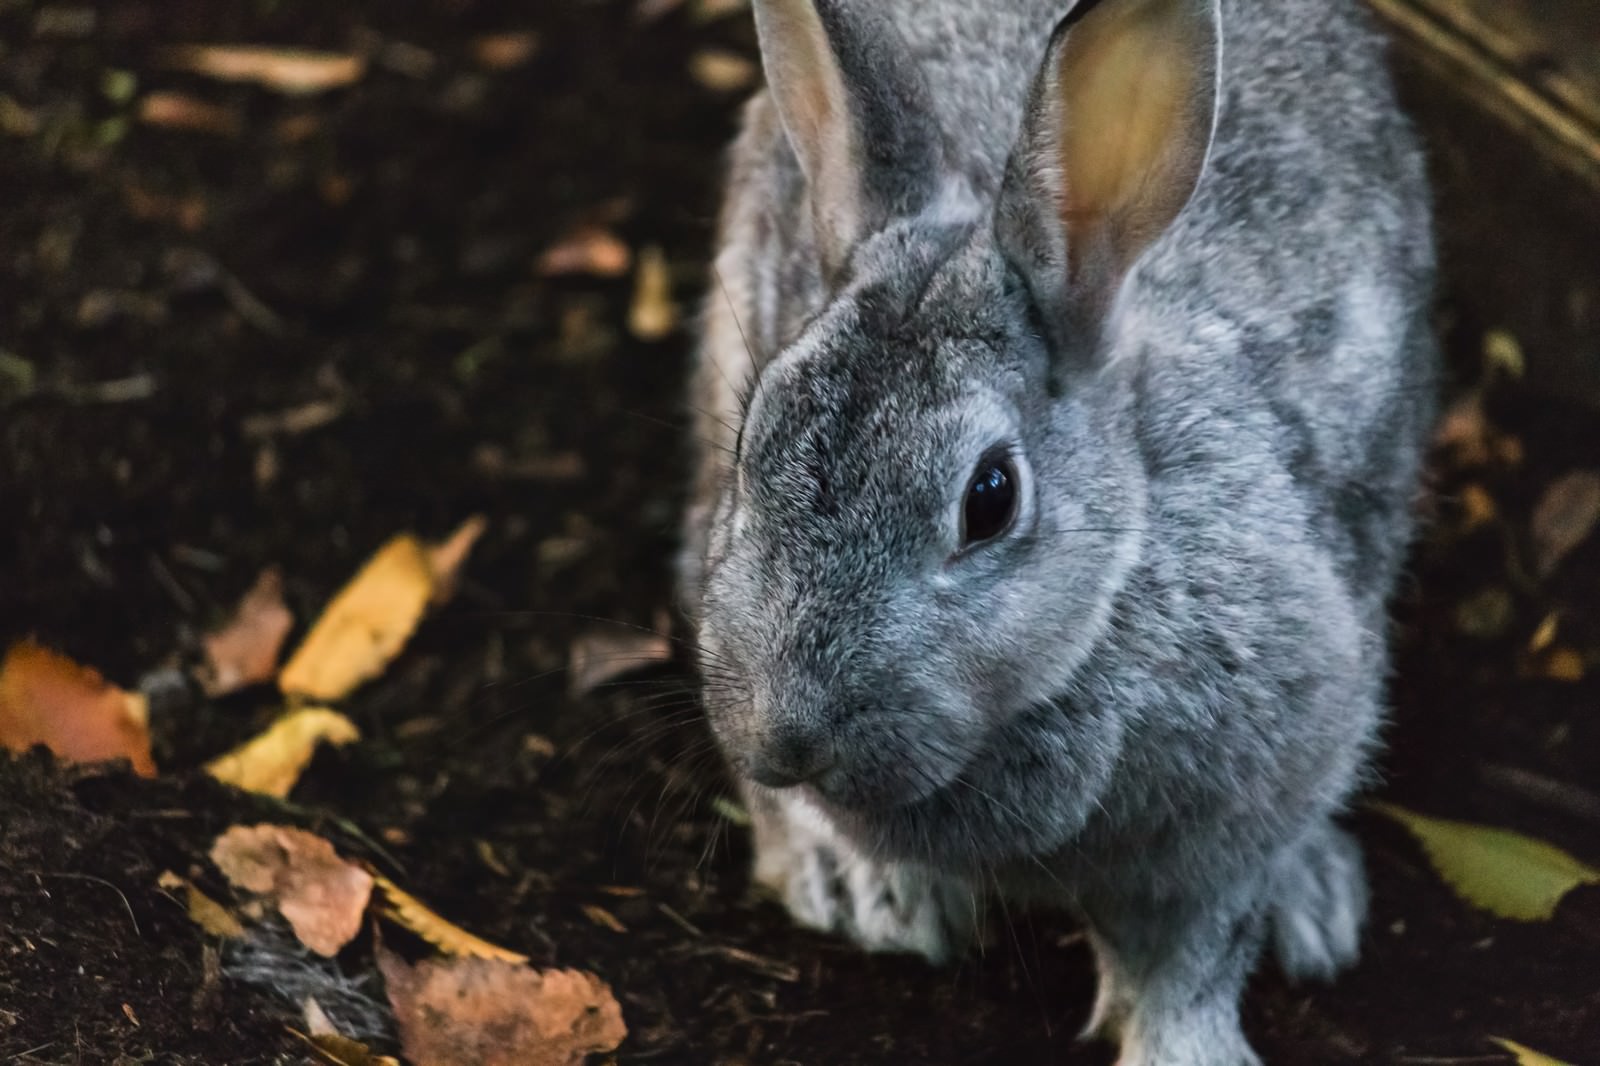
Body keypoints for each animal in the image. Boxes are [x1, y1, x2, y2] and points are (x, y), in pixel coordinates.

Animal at [675, 2, 1440, 1056]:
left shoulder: (1245, 810)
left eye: (990, 498)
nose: (781, 739)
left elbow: (1194, 957)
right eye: (758, 436)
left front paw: (1186, 1050)